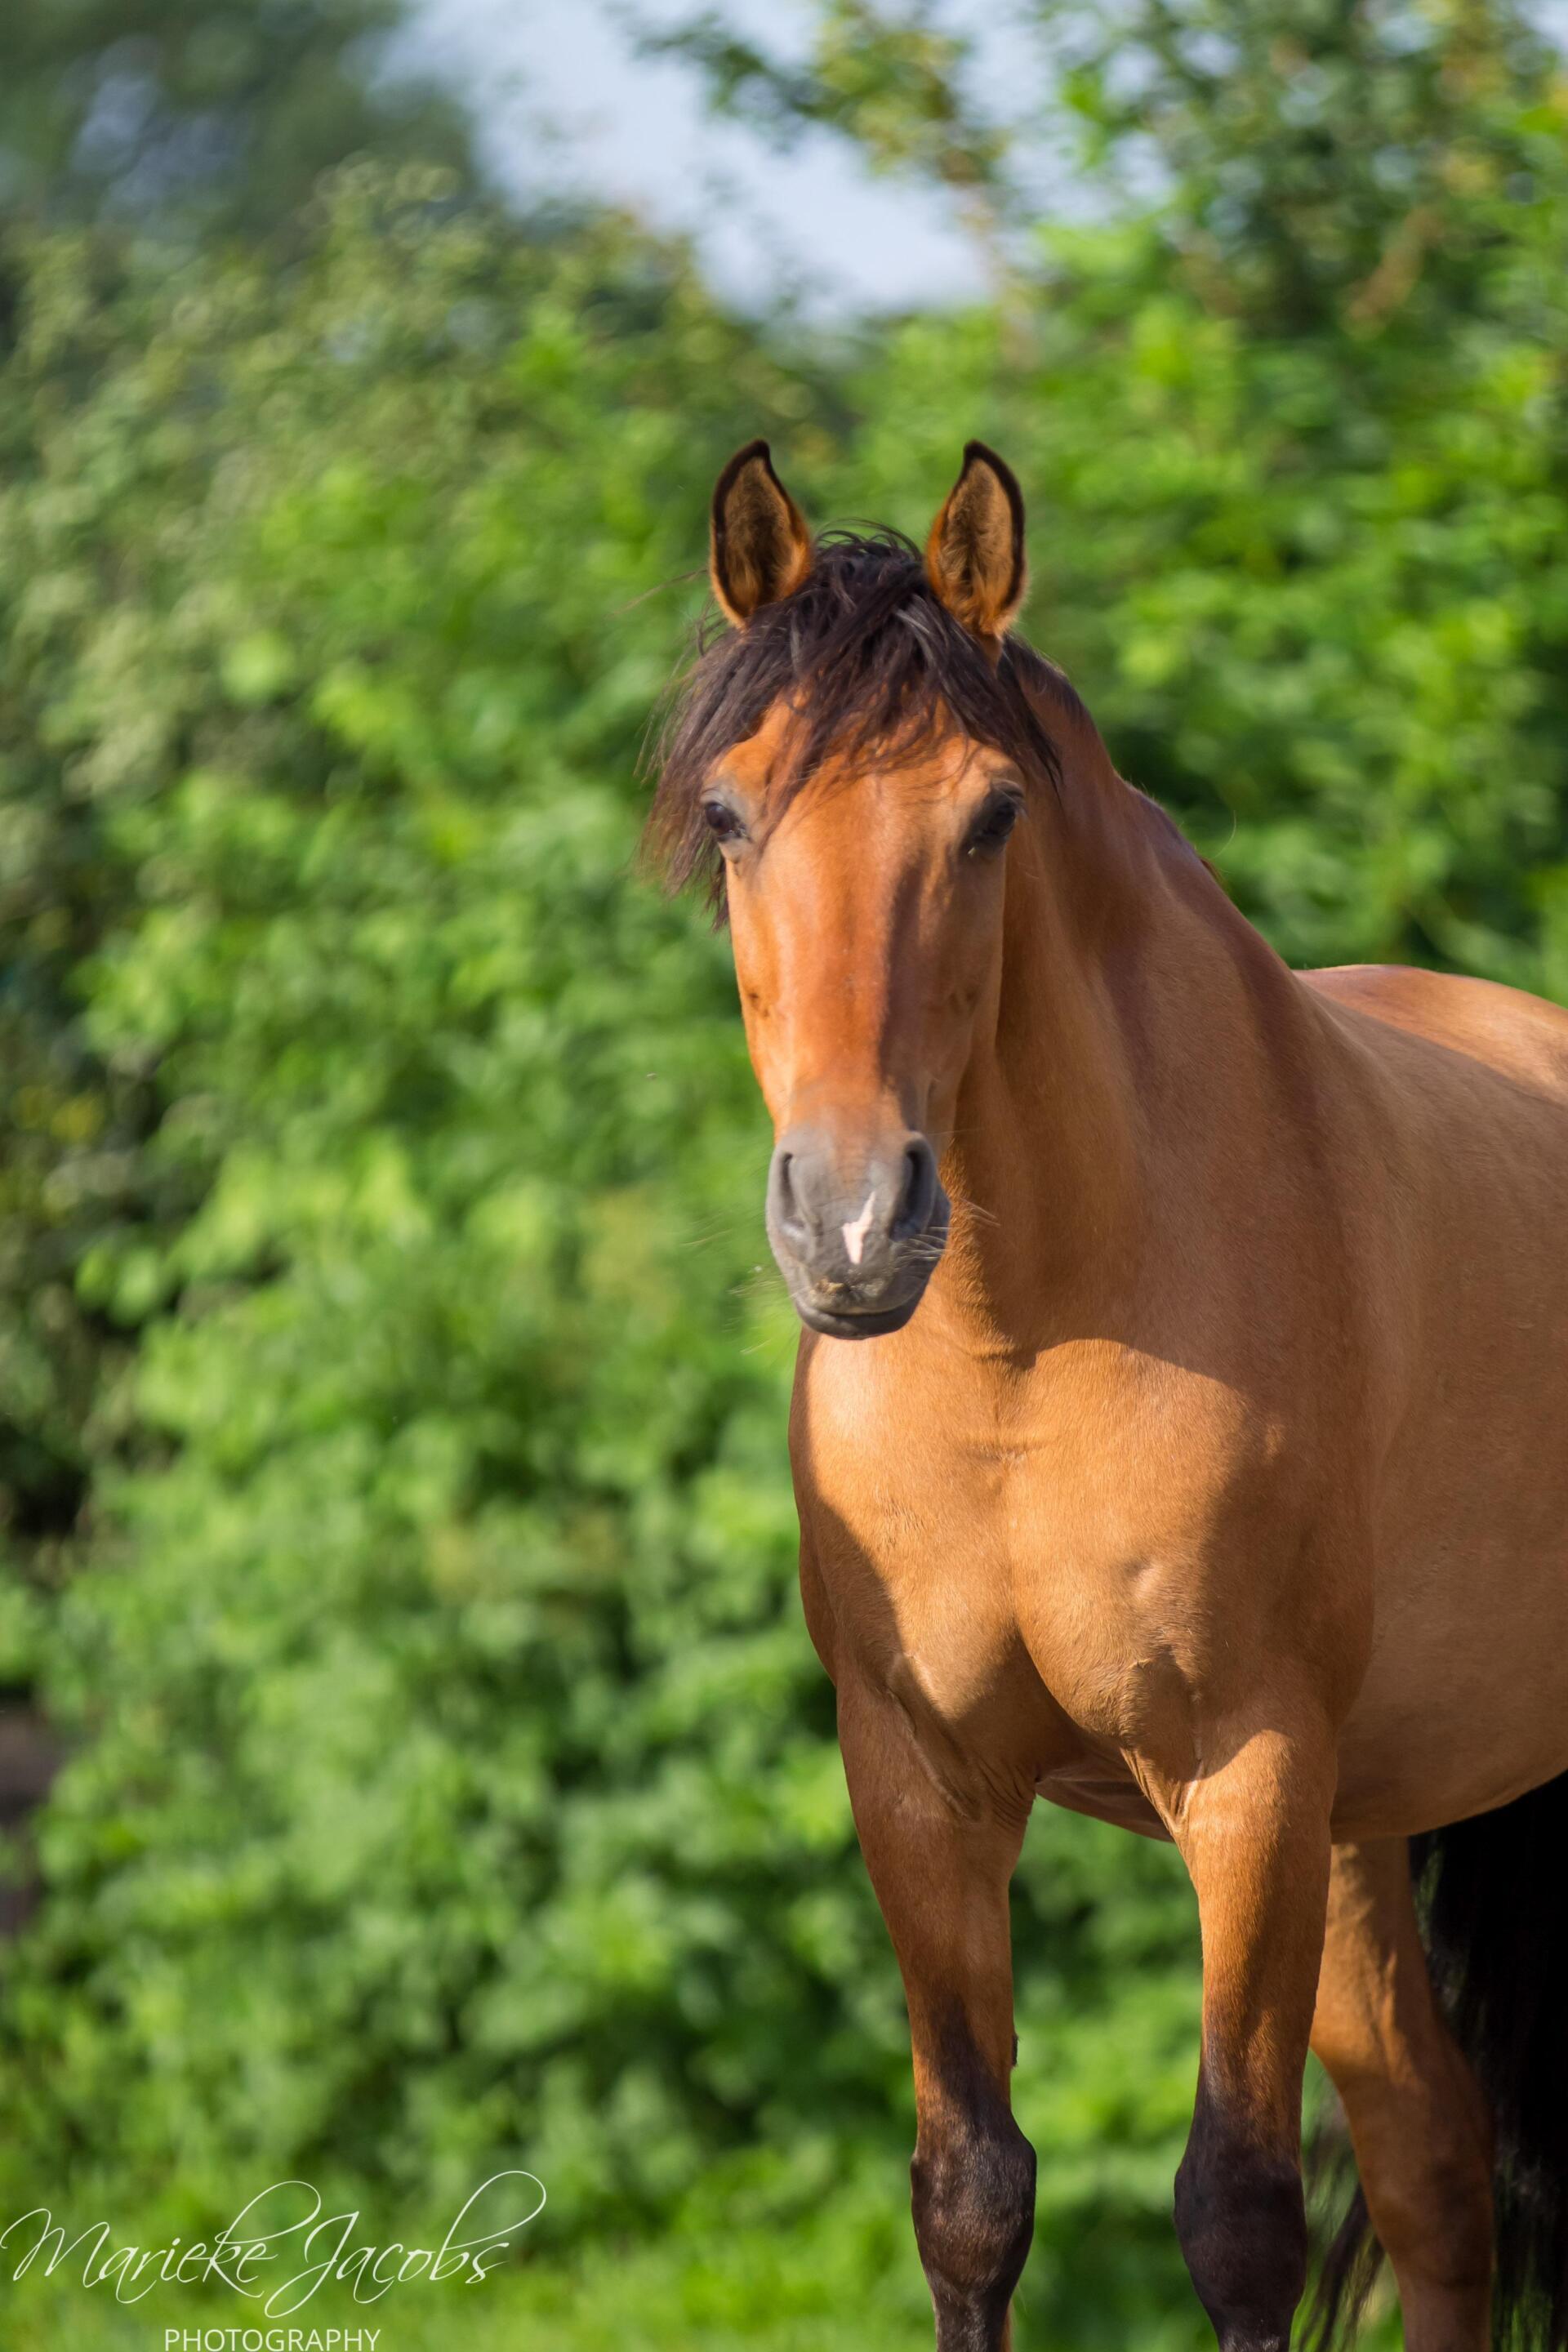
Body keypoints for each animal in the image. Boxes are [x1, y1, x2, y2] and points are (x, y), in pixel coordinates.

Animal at [645, 437, 1568, 2352]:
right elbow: (973, 2197)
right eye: (734, 817)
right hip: (1365, 1835)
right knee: (1439, 2185)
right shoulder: (920, 1786)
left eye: (992, 816)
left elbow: (1236, 2215)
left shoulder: (1245, 1780)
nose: (853, 1220)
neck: (1028, 1352)